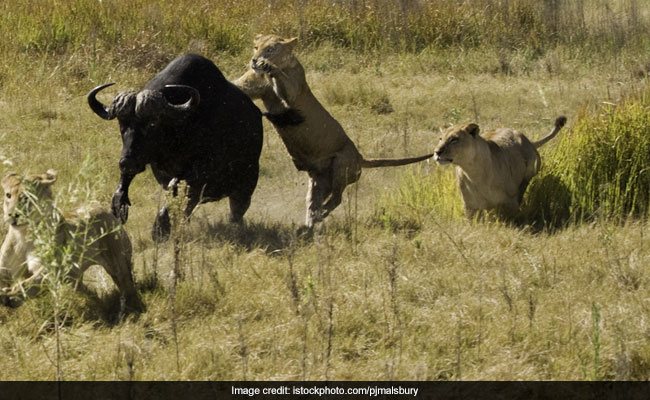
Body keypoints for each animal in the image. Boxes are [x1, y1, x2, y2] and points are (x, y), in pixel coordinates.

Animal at [0, 170, 143, 312]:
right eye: (8, 195)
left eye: (27, 197)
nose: (13, 215)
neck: (23, 234)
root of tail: (104, 208)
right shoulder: (5, 268)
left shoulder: (53, 269)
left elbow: (31, 282)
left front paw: (10, 296)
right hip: (75, 276)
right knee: (85, 289)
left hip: (117, 263)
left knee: (127, 285)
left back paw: (128, 307)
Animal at [88, 54, 263, 241]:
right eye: (122, 124)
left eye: (152, 123)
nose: (127, 162)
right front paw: (119, 202)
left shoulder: (198, 172)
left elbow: (175, 190)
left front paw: (159, 230)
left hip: (246, 184)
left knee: (236, 210)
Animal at [233, 34, 433, 228]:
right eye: (256, 47)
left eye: (270, 49)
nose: (254, 60)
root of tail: (361, 157)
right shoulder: (252, 86)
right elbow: (239, 86)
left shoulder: (293, 91)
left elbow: (283, 81)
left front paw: (268, 66)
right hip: (318, 182)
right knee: (315, 201)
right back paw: (311, 222)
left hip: (340, 166)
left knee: (338, 198)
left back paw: (320, 214)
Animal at [433, 116, 567, 219]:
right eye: (440, 139)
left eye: (454, 139)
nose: (437, 152)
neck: (473, 172)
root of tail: (529, 141)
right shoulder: (470, 206)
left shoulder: (510, 202)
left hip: (527, 177)